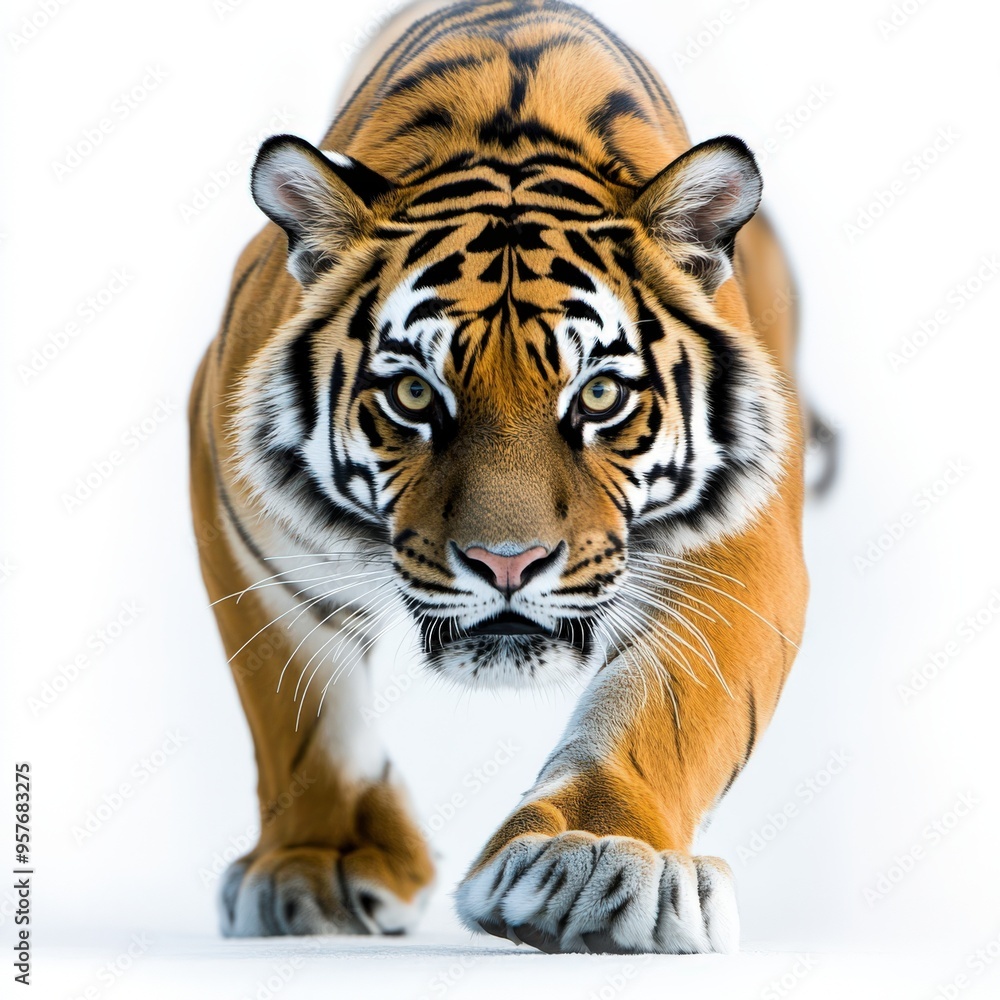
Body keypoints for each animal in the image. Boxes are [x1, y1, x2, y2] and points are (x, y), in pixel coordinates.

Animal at [189, 0, 810, 953]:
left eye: (599, 394)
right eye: (413, 392)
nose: (506, 564)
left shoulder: (741, 540)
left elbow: (665, 710)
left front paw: (595, 855)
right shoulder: (243, 509)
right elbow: (300, 714)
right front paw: (317, 863)